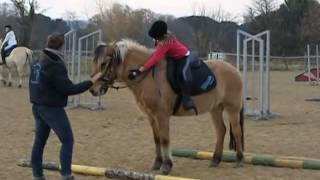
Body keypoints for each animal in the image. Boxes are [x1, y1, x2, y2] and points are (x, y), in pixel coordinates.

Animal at [89, 39, 244, 174]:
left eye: (104, 63)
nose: (92, 90)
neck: (147, 76)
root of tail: (235, 70)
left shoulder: (162, 115)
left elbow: (164, 139)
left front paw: (166, 166)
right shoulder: (151, 116)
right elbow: (157, 139)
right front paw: (157, 163)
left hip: (232, 108)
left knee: (236, 131)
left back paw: (239, 160)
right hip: (215, 108)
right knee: (221, 131)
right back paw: (215, 160)